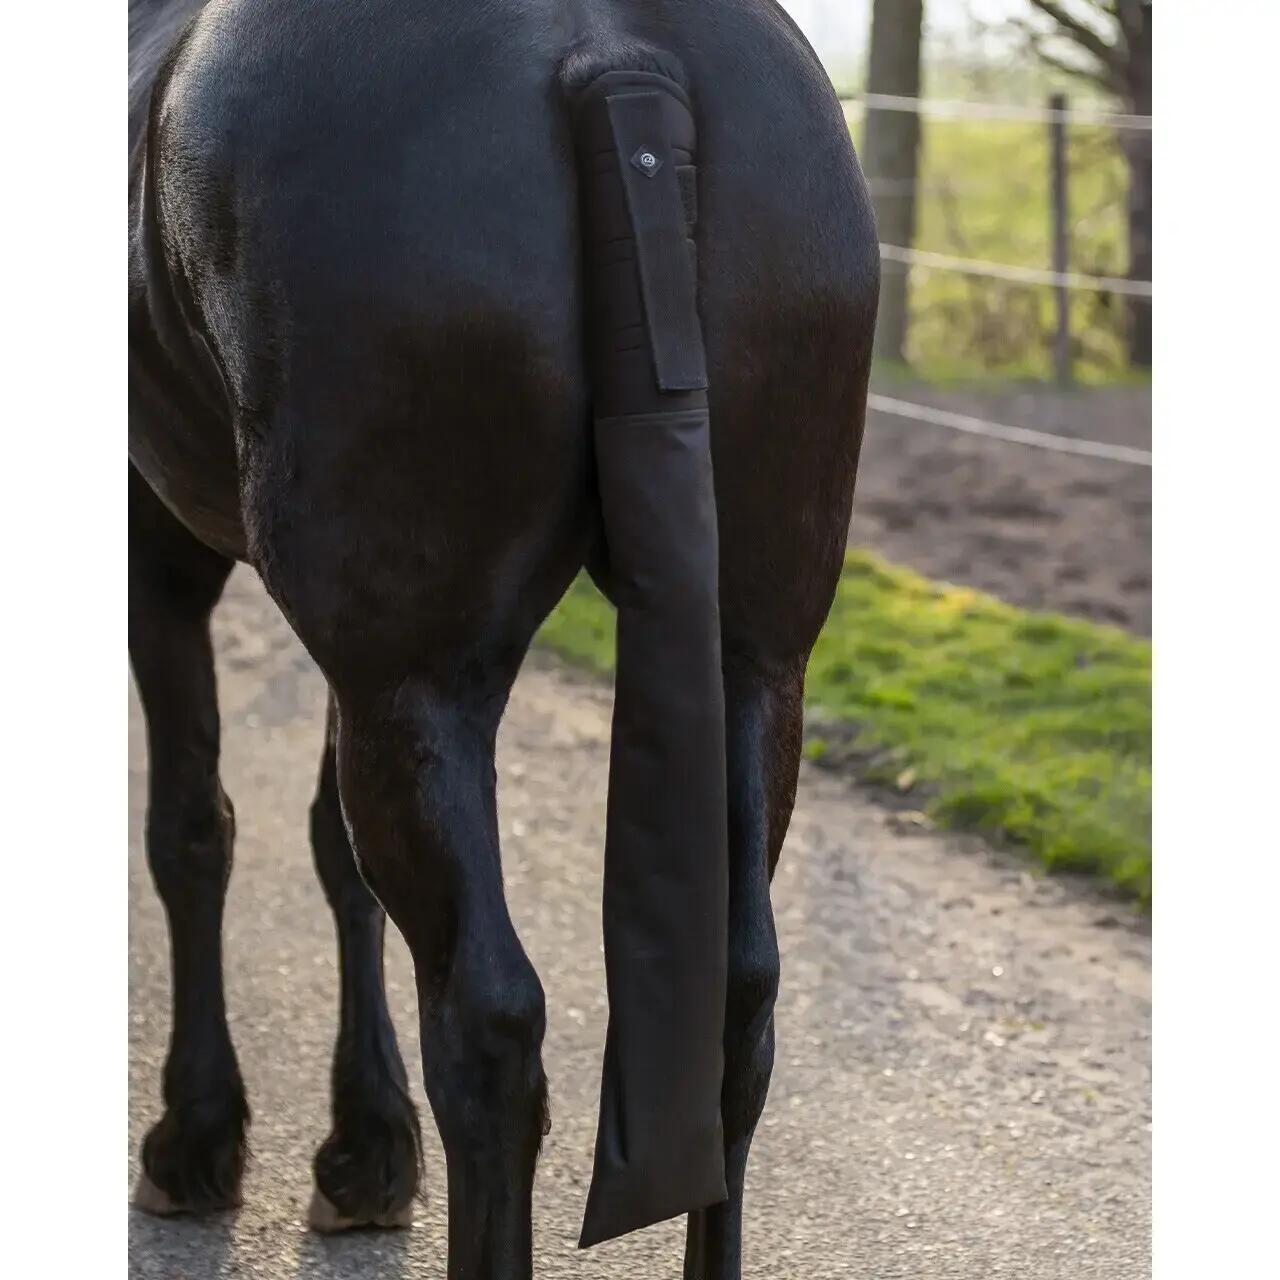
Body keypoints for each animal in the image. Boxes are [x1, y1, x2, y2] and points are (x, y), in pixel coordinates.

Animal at [128, 0, 877, 1274]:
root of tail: (608, 51)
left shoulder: (164, 546)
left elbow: (191, 831)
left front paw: (198, 1133)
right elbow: (327, 852)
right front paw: (366, 1144)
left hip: (412, 682)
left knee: (486, 1027)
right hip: (750, 665)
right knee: (736, 1001)